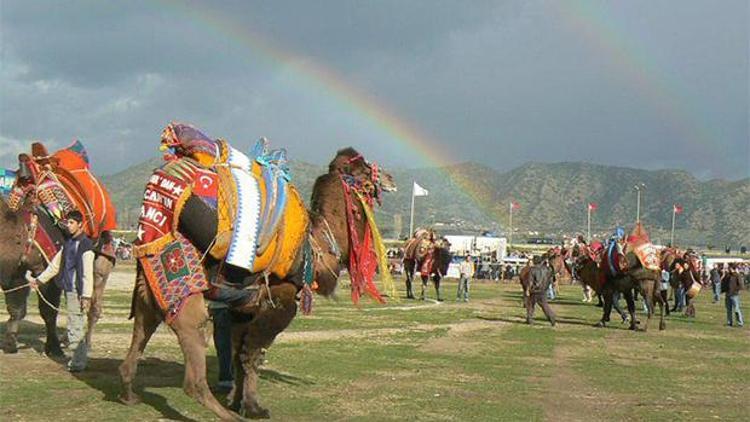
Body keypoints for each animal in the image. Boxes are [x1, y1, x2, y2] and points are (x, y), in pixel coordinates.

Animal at [117, 147, 396, 420]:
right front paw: (252, 408)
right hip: (184, 284)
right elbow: (252, 355)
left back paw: (129, 394)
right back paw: (226, 415)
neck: (318, 246)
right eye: (364, 170)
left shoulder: (242, 307)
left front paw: (238, 401)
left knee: (140, 332)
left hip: (148, 286)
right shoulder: (279, 300)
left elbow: (239, 354)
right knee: (192, 370)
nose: (390, 178)